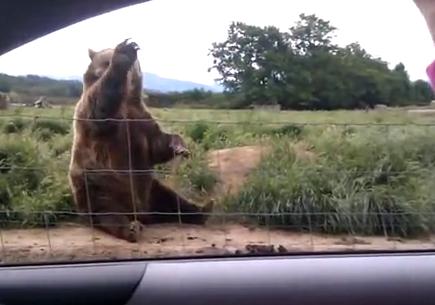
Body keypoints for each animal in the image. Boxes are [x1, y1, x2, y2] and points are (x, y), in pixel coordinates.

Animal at [68, 38, 215, 242]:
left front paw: (180, 147)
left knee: (172, 200)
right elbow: (99, 107)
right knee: (107, 212)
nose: (104, 68)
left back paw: (204, 209)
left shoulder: (141, 118)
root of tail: (141, 212)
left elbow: (157, 145)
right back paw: (130, 228)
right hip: (97, 185)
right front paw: (125, 52)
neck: (126, 98)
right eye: (105, 61)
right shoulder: (95, 117)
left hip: (151, 189)